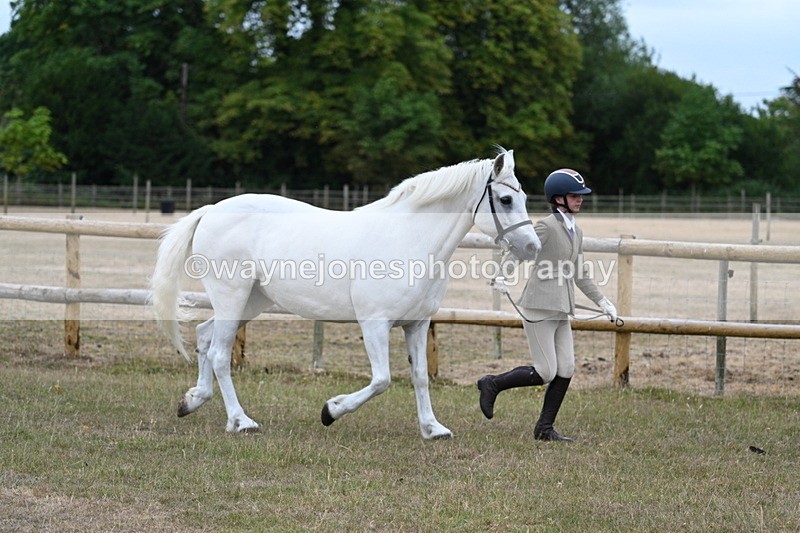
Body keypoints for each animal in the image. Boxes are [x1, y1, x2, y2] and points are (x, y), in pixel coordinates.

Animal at [150, 148, 540, 439]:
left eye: (522, 196)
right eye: (506, 199)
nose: (532, 247)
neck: (409, 239)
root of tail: (211, 211)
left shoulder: (415, 325)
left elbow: (419, 376)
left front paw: (433, 428)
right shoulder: (374, 324)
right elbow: (382, 380)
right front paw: (331, 411)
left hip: (252, 300)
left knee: (204, 336)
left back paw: (192, 401)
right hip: (232, 295)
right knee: (219, 353)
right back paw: (240, 421)